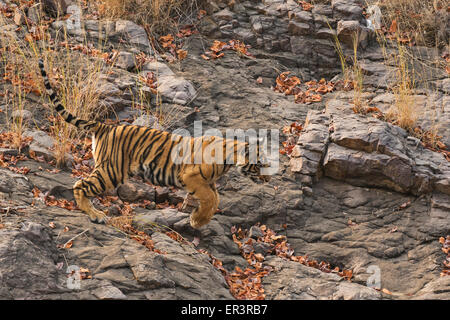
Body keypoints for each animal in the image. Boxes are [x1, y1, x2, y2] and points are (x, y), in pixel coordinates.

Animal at [38, 58, 270, 229]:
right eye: (261, 164)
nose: (268, 180)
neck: (230, 158)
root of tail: (106, 126)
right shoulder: (191, 177)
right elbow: (210, 199)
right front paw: (197, 220)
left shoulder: (208, 183)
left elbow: (215, 199)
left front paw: (197, 218)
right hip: (111, 170)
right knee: (80, 185)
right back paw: (96, 215)